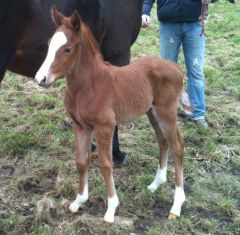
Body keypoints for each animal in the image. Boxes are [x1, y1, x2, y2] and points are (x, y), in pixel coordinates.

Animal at [35, 8, 186, 223]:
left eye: (67, 49)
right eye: (49, 44)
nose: (41, 79)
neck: (89, 85)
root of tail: (176, 67)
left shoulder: (104, 126)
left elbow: (106, 164)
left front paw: (111, 209)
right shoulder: (80, 126)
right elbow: (81, 161)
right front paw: (78, 201)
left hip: (167, 112)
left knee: (178, 146)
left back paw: (176, 205)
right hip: (152, 112)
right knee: (163, 141)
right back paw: (156, 184)